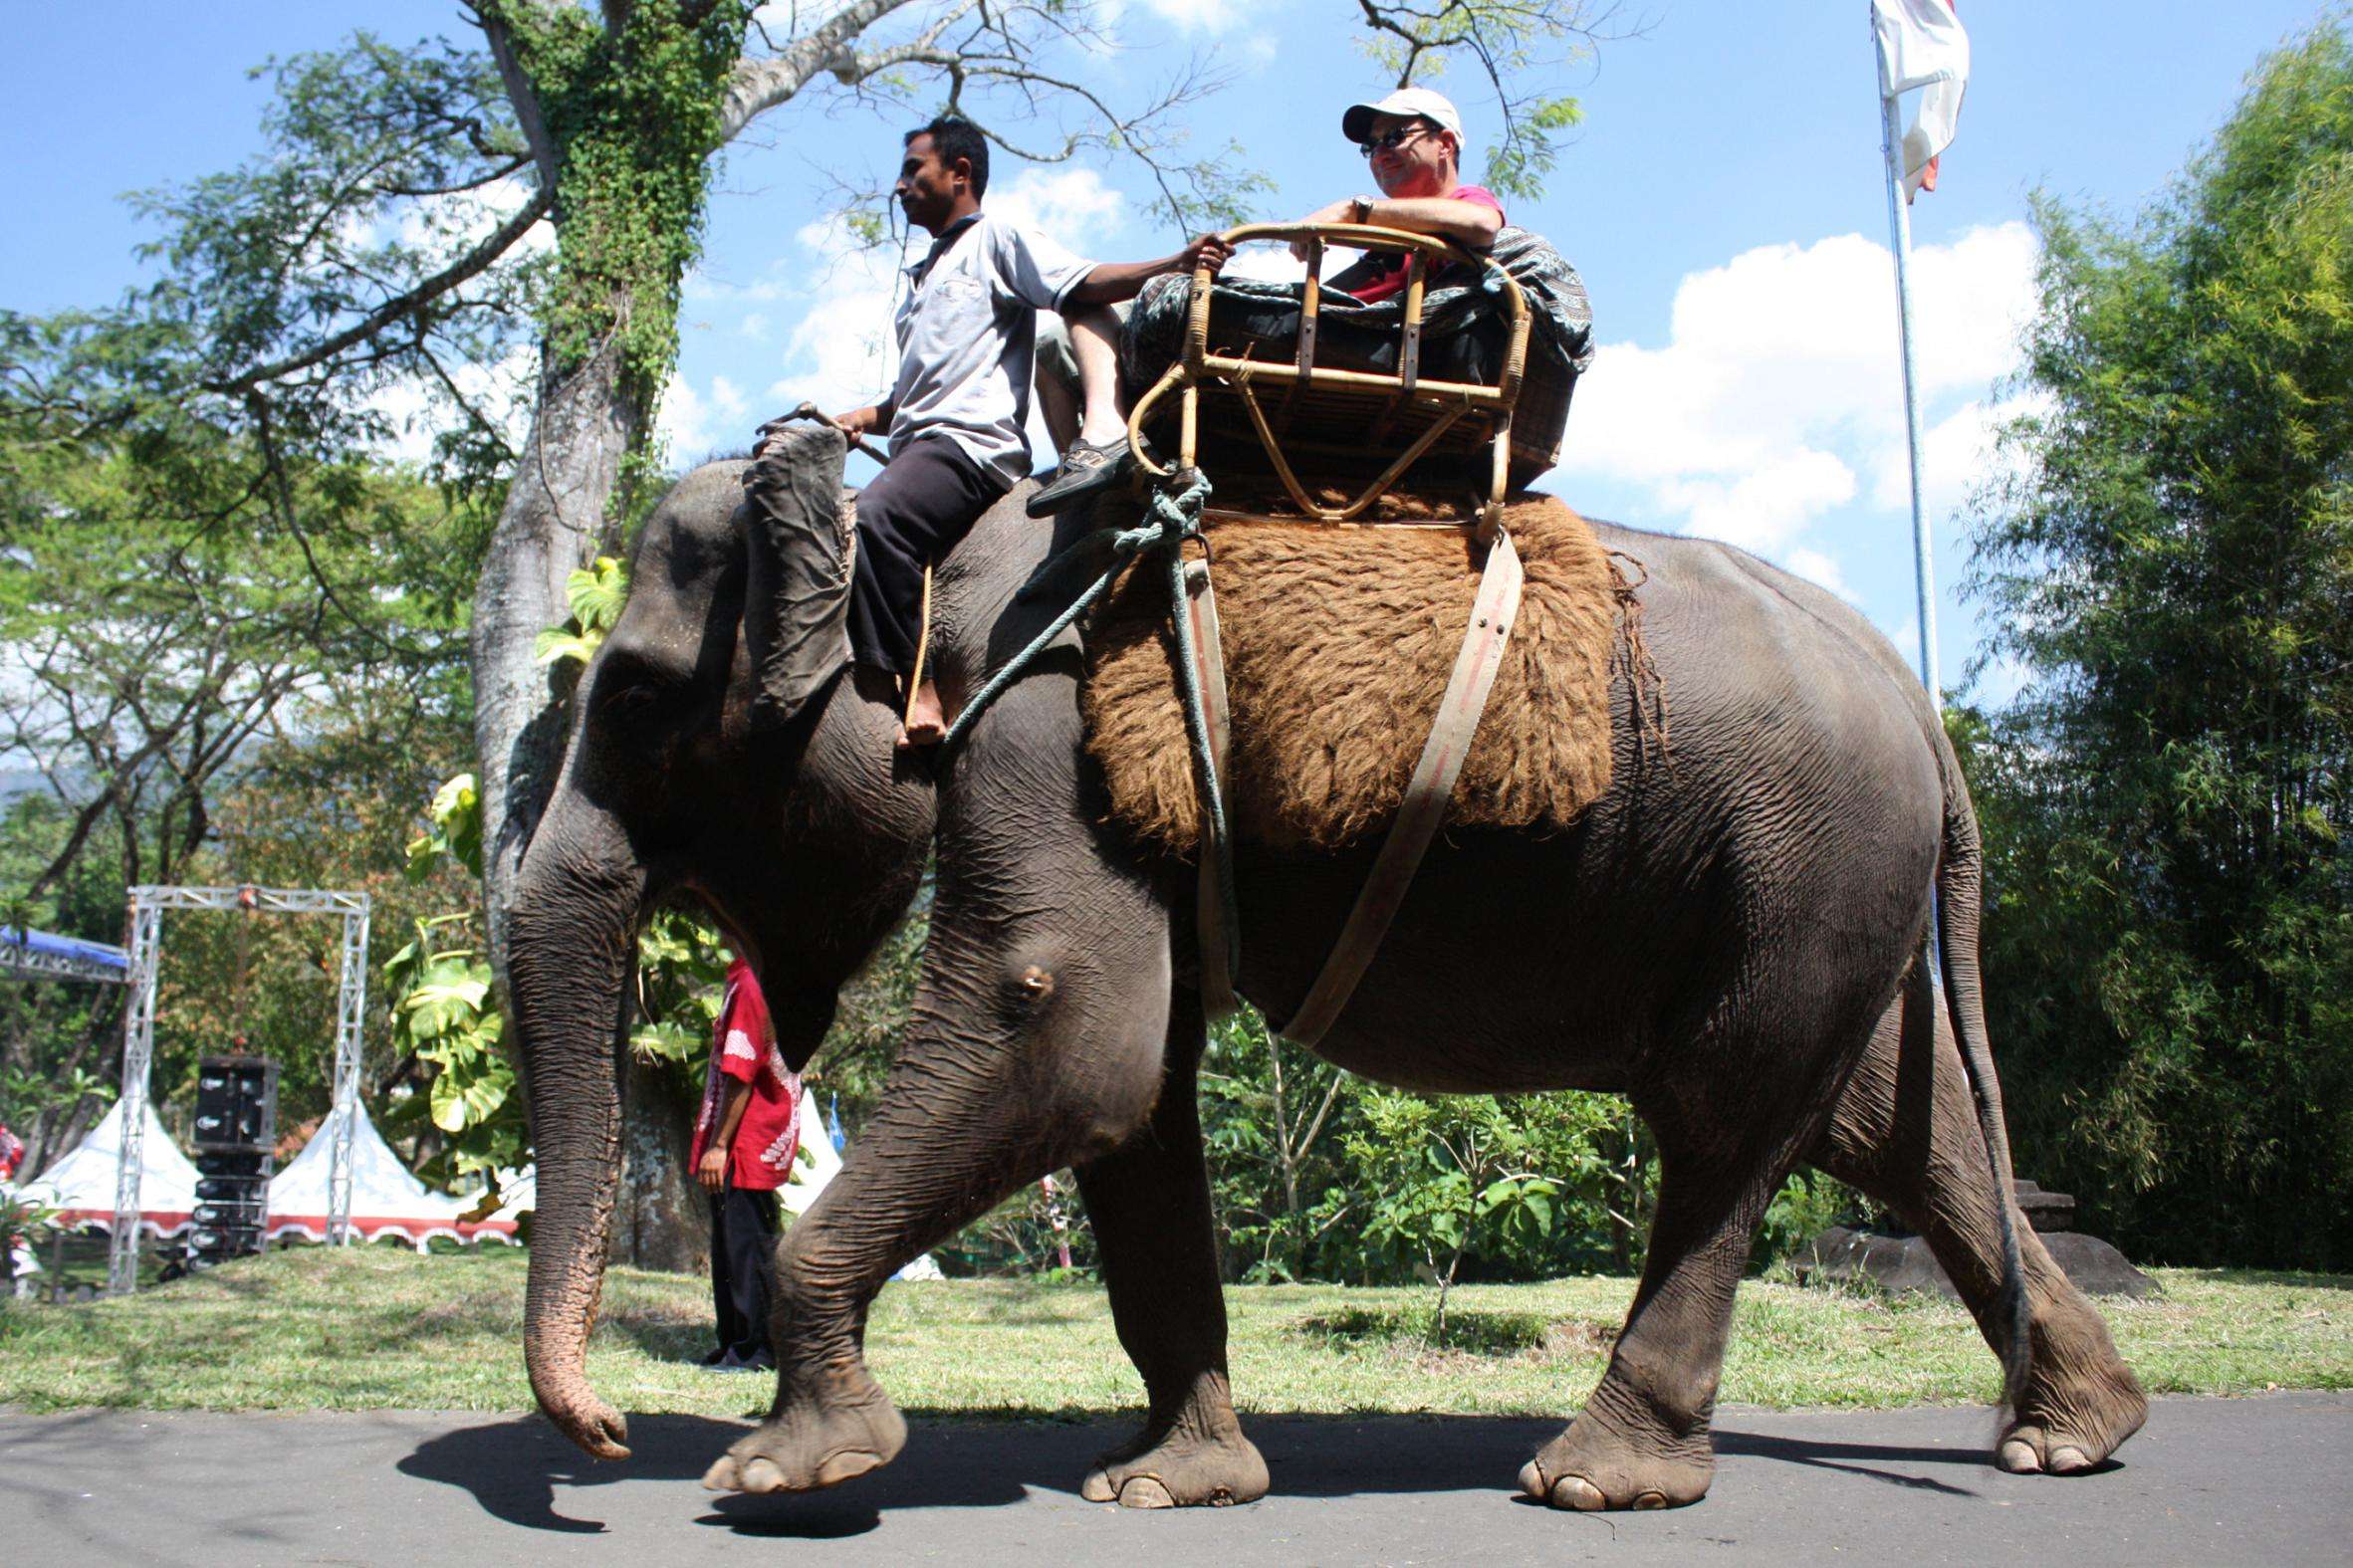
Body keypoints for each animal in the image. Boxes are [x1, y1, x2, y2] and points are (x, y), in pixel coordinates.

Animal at [507, 425, 2148, 1513]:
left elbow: (1059, 1023)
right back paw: (2074, 1433)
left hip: (1805, 862)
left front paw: (782, 1467)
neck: (902, 537)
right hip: (1821, 881)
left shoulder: (1042, 718)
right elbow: (1133, 1095)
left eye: (637, 698)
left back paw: (1590, 1478)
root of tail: (1920, 701)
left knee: (1726, 1118)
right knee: (1882, 1119)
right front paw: (1163, 1481)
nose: (602, 1441)